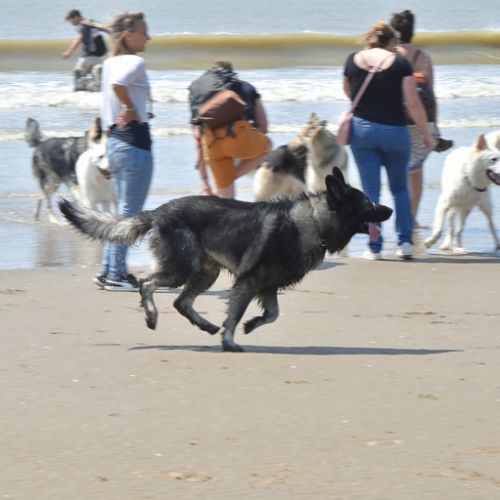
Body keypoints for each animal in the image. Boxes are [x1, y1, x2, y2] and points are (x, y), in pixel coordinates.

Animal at [59, 167, 392, 352]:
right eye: (368, 204)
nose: (388, 210)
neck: (313, 221)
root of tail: (159, 211)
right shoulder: (249, 282)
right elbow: (235, 315)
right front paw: (230, 342)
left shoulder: (266, 286)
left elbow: (272, 314)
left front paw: (251, 324)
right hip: (182, 269)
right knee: (147, 284)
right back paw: (152, 316)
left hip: (206, 273)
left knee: (181, 302)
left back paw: (205, 326)